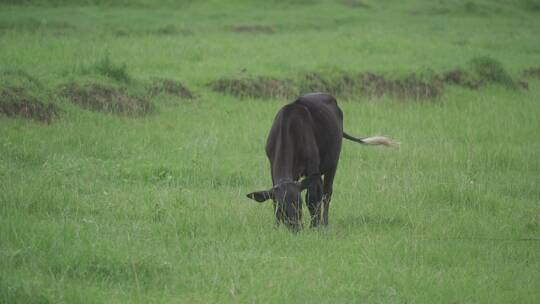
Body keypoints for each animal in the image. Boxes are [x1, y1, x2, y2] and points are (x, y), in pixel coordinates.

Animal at [247, 92, 398, 230]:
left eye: (299, 203)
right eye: (282, 206)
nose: (296, 228)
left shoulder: (313, 167)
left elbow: (312, 199)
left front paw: (315, 227)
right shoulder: (273, 166)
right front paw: (276, 227)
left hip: (333, 163)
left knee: (326, 193)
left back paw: (324, 223)